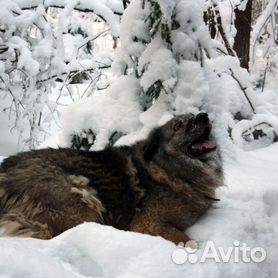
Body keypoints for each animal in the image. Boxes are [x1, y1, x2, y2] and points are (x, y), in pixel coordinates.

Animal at [0, 113, 223, 243]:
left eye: (194, 113)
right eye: (178, 125)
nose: (204, 115)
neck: (168, 168)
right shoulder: (148, 223)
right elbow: (187, 240)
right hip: (81, 197)